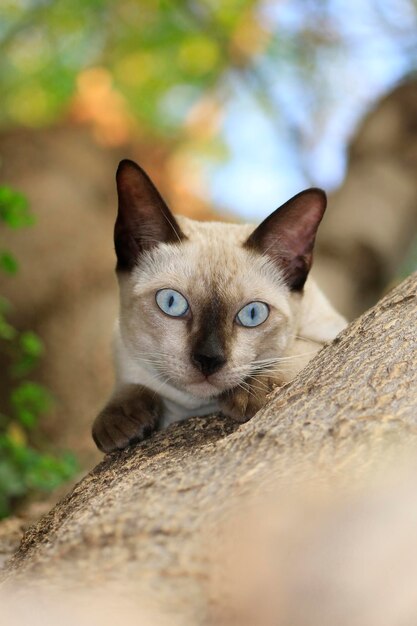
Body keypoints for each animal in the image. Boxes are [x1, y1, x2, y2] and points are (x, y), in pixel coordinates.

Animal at [92, 158, 346, 450]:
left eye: (252, 314)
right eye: (171, 303)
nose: (208, 360)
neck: (193, 409)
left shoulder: (332, 330)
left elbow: (301, 348)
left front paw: (248, 393)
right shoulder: (127, 361)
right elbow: (129, 388)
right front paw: (119, 422)